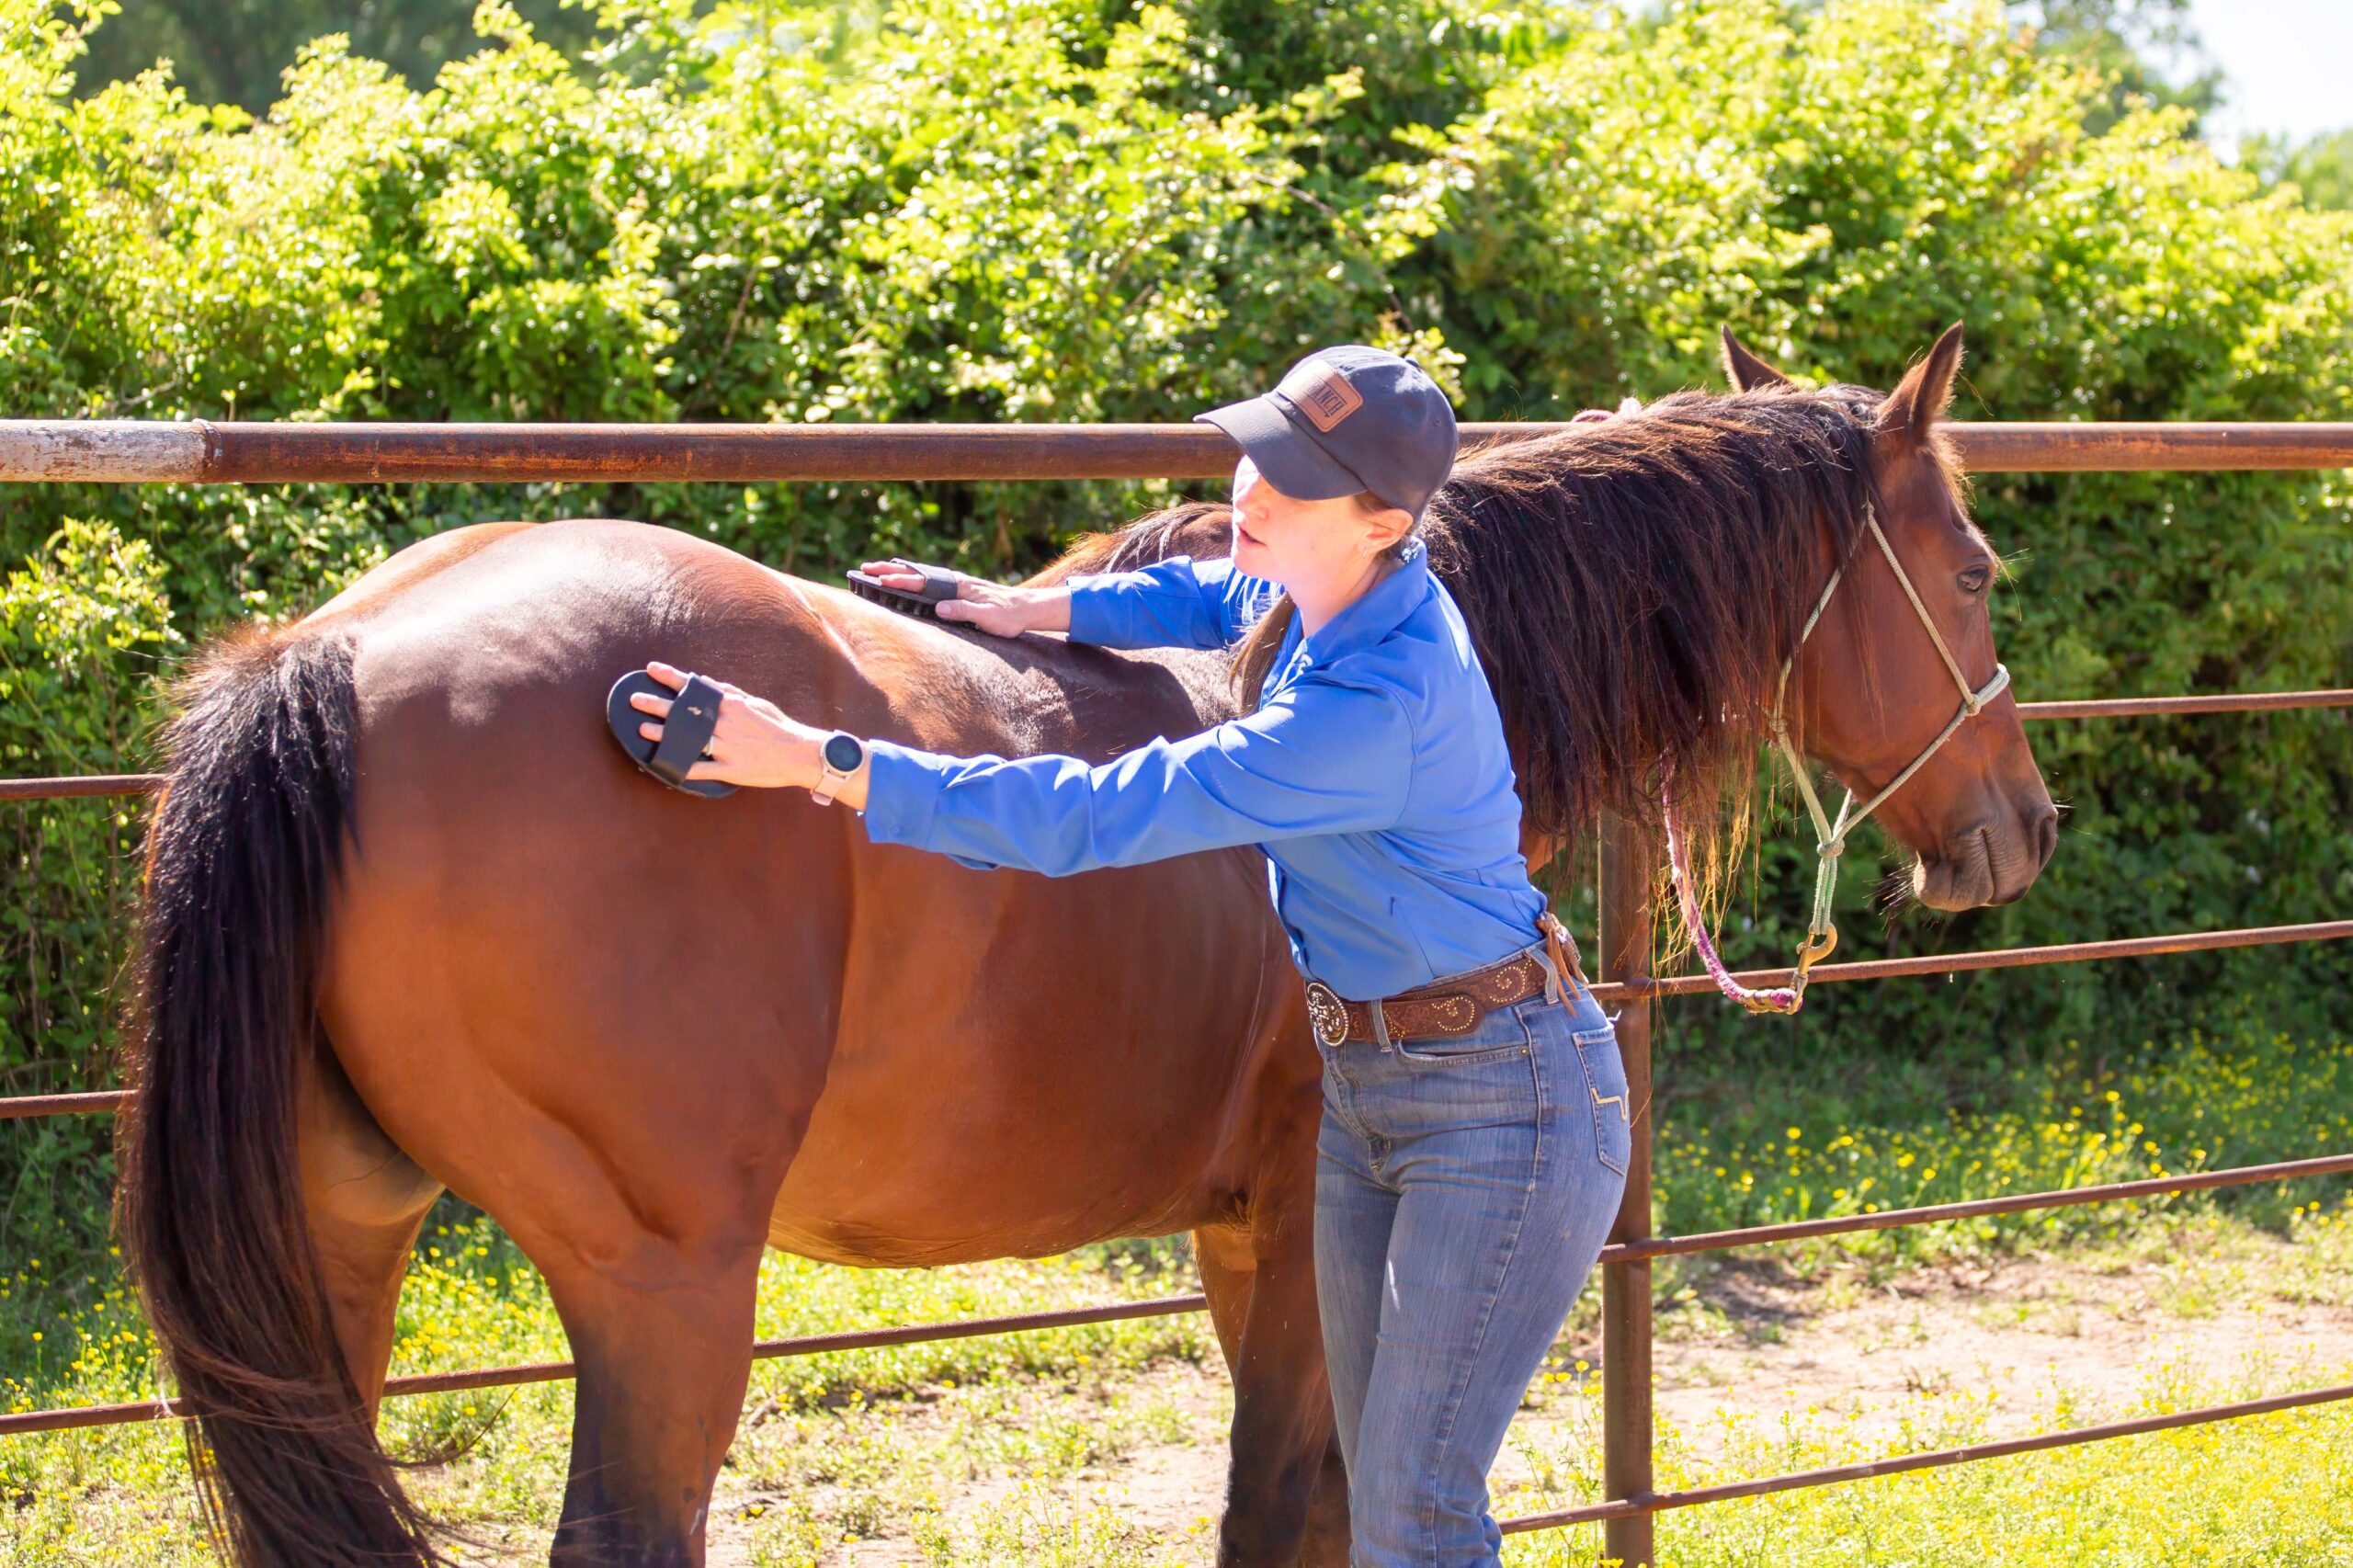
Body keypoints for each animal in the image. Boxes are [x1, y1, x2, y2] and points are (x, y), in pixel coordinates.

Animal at [119, 322, 2052, 1553]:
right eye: (1971, 573)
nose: (2019, 829)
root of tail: (335, 655)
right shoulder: (1292, 1231)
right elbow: (1291, 1506)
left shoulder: (1248, 1240)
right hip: (662, 1285)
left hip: (340, 1231)